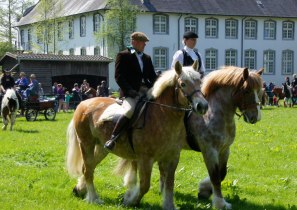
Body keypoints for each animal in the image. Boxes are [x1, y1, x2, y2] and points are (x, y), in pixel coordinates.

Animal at [65, 60, 207, 208]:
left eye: (199, 82)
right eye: (183, 84)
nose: (202, 106)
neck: (162, 115)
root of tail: (83, 103)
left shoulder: (172, 157)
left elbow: (169, 184)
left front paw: (168, 205)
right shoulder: (145, 159)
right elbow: (145, 185)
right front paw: (130, 200)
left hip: (101, 148)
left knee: (89, 167)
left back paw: (80, 190)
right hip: (86, 144)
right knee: (88, 170)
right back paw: (93, 198)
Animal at [115, 66, 262, 209]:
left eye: (259, 91)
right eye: (247, 91)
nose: (256, 117)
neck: (214, 113)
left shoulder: (224, 150)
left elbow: (222, 173)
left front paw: (205, 190)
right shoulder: (209, 150)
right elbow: (215, 175)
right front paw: (218, 201)